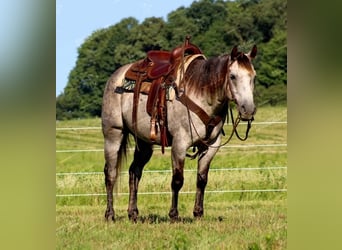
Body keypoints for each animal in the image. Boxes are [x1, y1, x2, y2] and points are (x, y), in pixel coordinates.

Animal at [101, 43, 256, 223]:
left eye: (253, 77)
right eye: (232, 76)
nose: (248, 110)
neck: (200, 94)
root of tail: (117, 75)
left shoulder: (211, 146)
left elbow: (202, 180)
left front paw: (198, 213)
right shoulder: (179, 144)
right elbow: (177, 180)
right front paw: (174, 215)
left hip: (144, 143)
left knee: (134, 172)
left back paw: (133, 213)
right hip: (113, 134)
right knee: (110, 174)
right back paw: (110, 214)